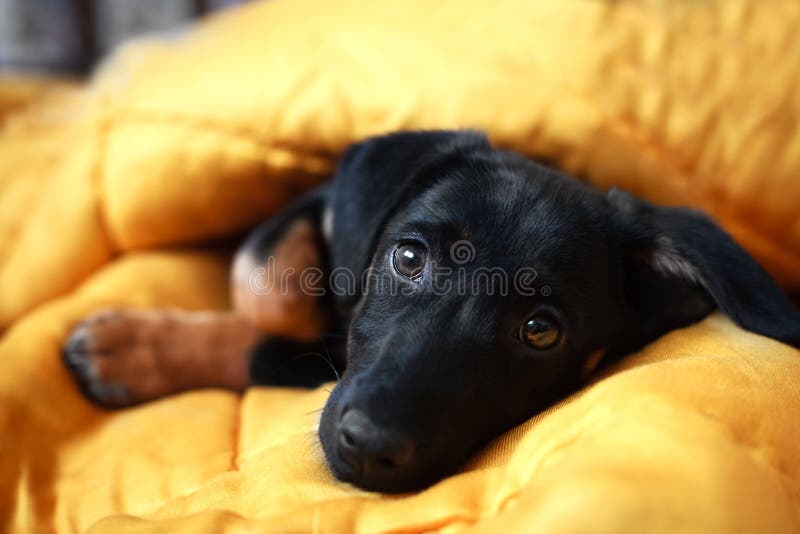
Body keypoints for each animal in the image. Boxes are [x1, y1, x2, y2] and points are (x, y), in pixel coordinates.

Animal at [65, 130, 800, 494]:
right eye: (410, 257)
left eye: (541, 331)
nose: (369, 449)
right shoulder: (314, 202)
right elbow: (268, 283)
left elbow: (279, 337)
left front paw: (126, 350)